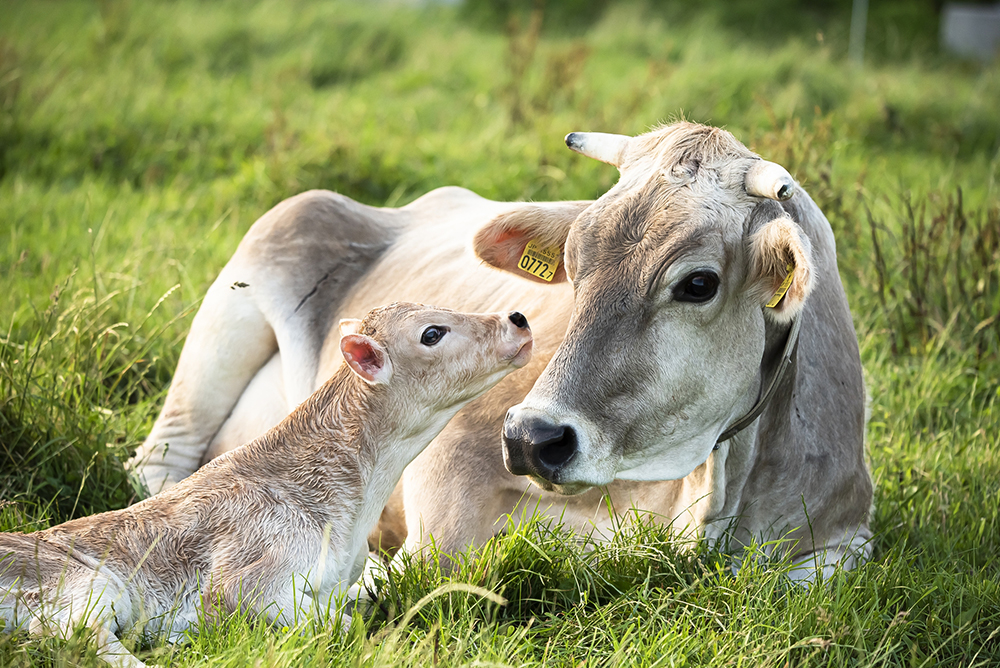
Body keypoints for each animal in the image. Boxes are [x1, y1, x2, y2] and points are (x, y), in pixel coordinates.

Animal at [0, 304, 536, 668]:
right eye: (432, 333)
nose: (517, 319)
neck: (353, 505)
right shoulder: (247, 582)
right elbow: (342, 624)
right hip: (87, 584)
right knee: (70, 634)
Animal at [131, 121, 868, 580]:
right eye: (573, 265)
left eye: (698, 283)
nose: (533, 438)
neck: (708, 489)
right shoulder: (454, 457)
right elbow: (428, 562)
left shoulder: (848, 539)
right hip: (252, 274)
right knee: (159, 464)